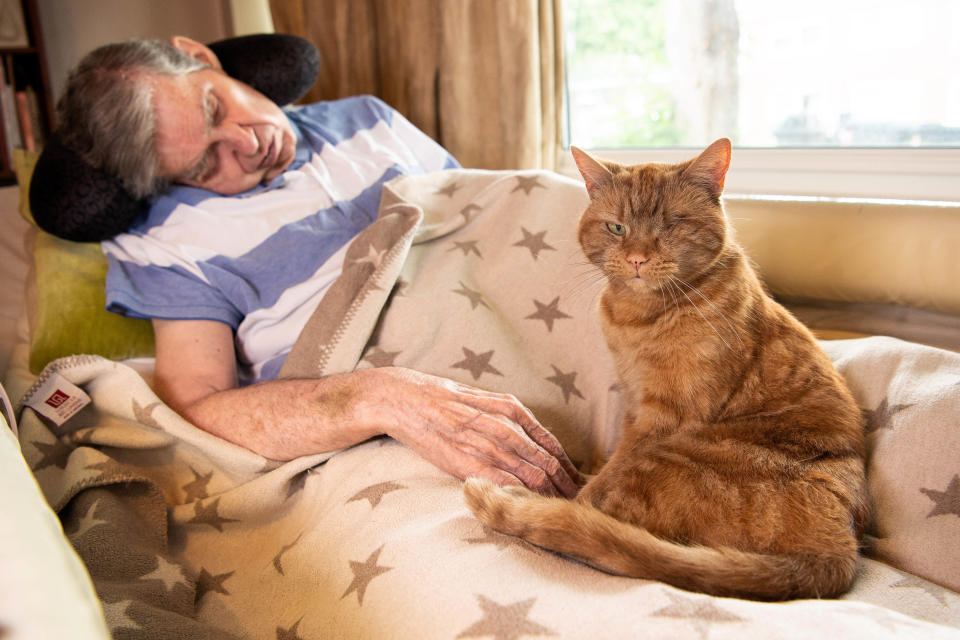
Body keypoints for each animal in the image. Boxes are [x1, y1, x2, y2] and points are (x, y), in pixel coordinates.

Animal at [464, 139, 872, 600]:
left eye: (672, 225)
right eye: (617, 228)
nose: (637, 259)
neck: (638, 317)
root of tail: (838, 549)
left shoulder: (664, 416)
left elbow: (600, 487)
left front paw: (571, 494)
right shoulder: (633, 400)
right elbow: (611, 456)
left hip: (675, 453)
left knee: (600, 527)